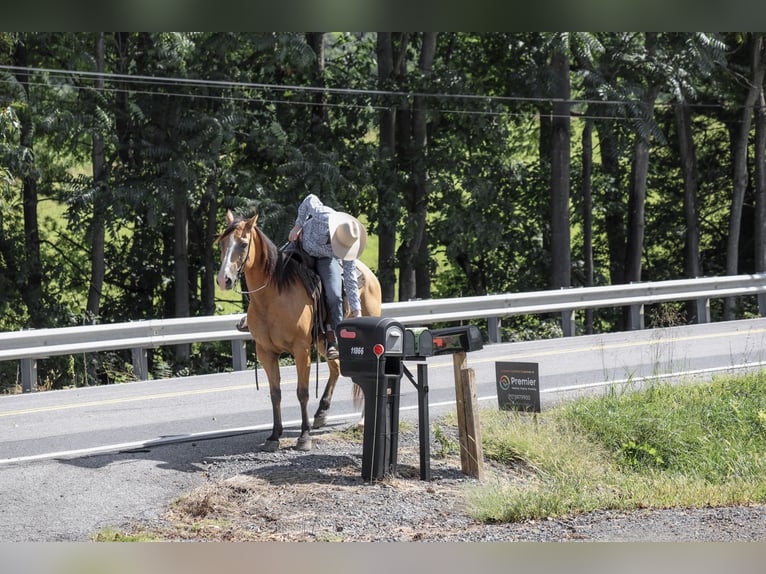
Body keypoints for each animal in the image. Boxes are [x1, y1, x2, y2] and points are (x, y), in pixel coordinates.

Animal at [216, 210, 382, 451]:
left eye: (243, 244)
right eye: (223, 242)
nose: (223, 280)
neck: (272, 296)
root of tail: (368, 274)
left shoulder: (301, 350)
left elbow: (302, 393)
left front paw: (304, 437)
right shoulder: (265, 351)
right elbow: (275, 393)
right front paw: (274, 436)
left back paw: (361, 421)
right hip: (323, 343)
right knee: (335, 368)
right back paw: (321, 413)